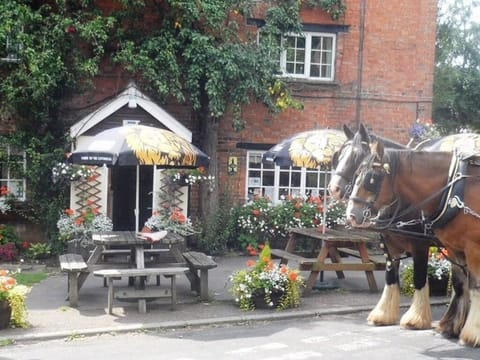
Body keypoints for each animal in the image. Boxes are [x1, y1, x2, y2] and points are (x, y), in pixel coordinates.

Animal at [346, 142, 480, 348]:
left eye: (372, 178)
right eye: (356, 174)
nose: (352, 215)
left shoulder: (437, 245)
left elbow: (422, 278)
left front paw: (470, 333)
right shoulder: (452, 247)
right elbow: (391, 278)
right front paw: (384, 314)